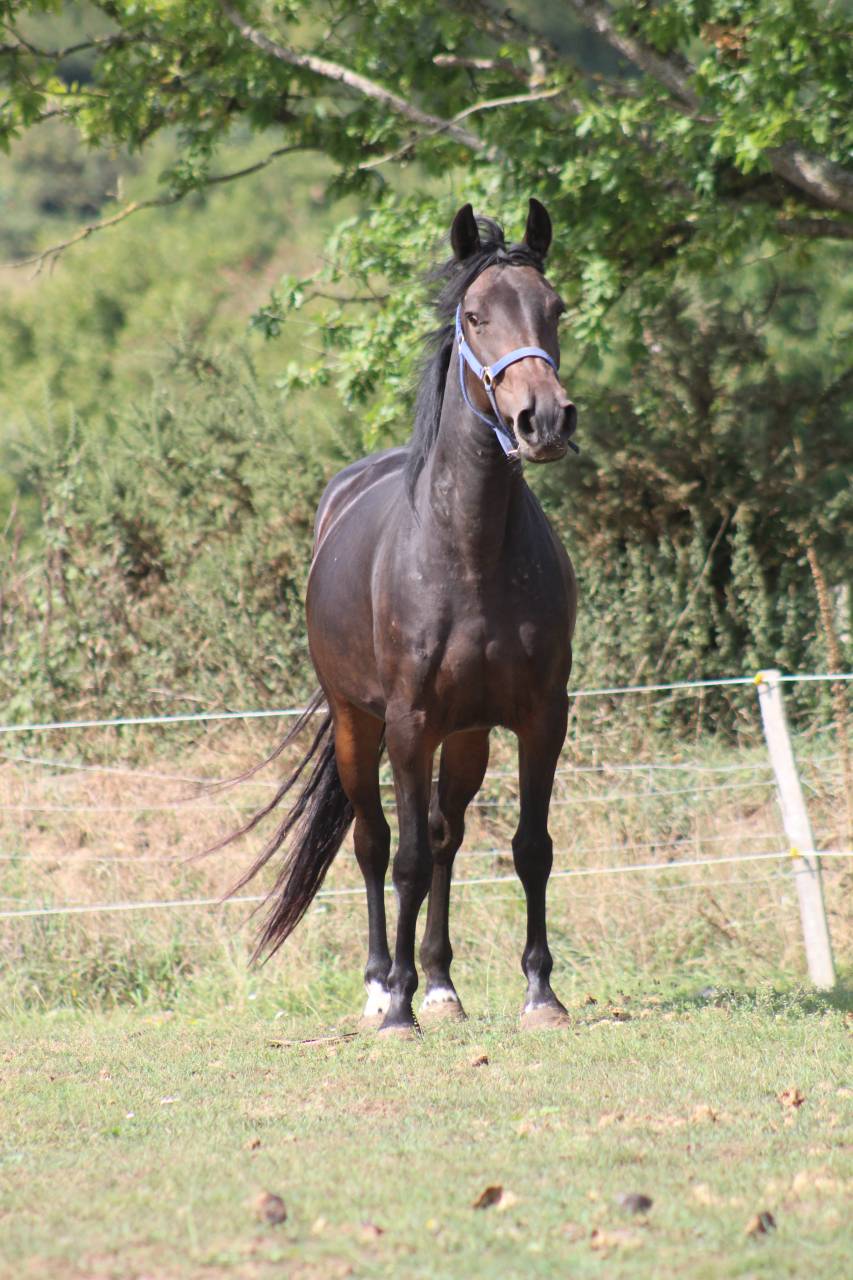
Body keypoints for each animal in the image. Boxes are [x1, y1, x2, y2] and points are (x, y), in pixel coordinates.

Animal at [226, 199, 578, 1035]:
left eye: (554, 309)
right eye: (474, 315)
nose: (544, 420)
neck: (469, 550)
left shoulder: (541, 716)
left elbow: (530, 848)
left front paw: (540, 994)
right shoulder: (409, 722)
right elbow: (406, 856)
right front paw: (396, 1008)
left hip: (468, 733)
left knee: (447, 834)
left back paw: (442, 985)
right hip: (360, 726)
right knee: (375, 842)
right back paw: (382, 983)